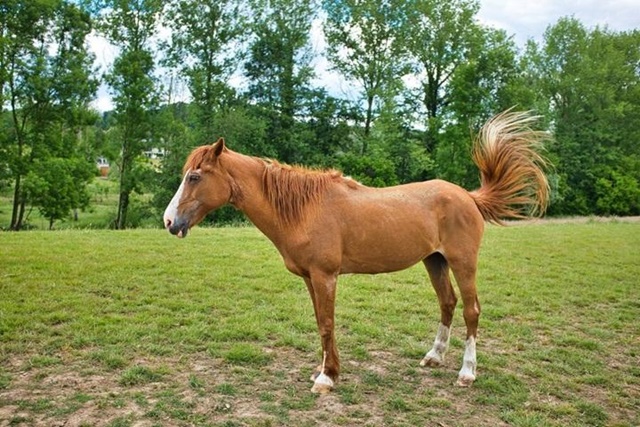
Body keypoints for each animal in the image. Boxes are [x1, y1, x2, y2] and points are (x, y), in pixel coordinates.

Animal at [162, 111, 548, 394]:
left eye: (195, 176)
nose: (169, 221)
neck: (304, 209)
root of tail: (468, 196)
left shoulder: (326, 277)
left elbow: (327, 323)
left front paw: (327, 378)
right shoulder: (310, 279)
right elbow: (320, 322)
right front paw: (325, 369)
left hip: (462, 262)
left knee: (471, 311)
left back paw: (467, 373)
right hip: (434, 261)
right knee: (447, 303)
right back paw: (434, 357)